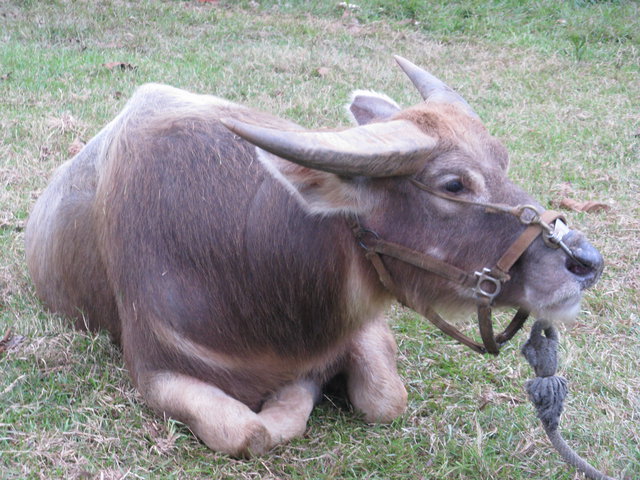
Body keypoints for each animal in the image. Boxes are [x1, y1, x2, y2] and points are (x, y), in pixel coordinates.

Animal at [26, 57, 604, 458]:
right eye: (453, 184)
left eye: (503, 160)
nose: (586, 262)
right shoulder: (153, 370)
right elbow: (248, 431)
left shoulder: (362, 325)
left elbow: (385, 398)